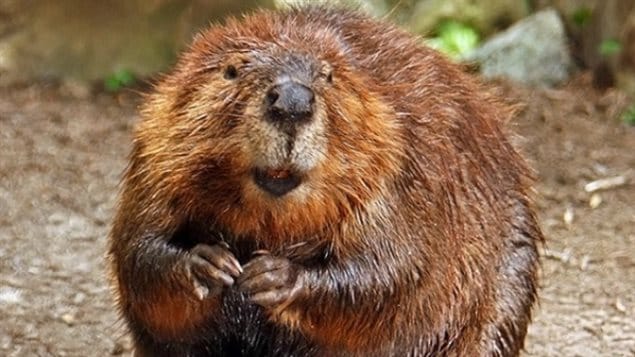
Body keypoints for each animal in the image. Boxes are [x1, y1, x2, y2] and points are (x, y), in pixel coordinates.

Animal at [108, 5, 540, 356]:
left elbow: (392, 269)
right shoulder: (154, 153)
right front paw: (208, 264)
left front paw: (272, 276)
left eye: (328, 75)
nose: (292, 102)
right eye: (232, 70)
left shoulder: (401, 166)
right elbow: (137, 248)